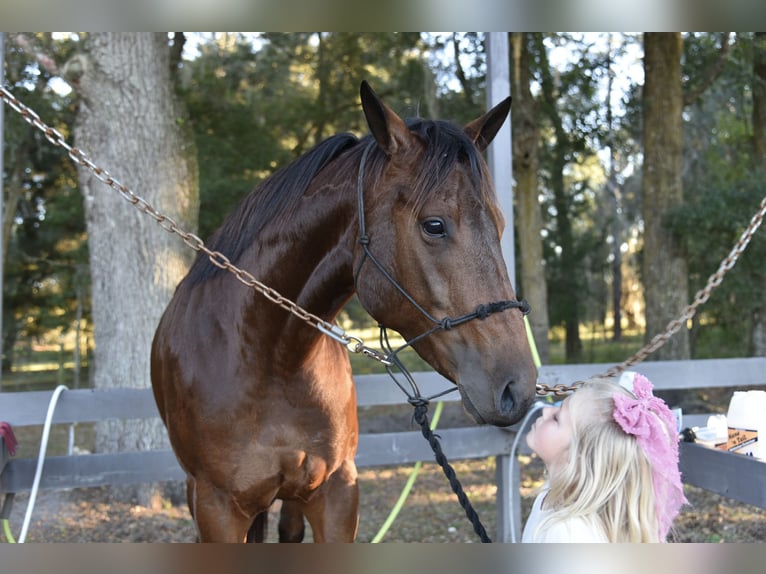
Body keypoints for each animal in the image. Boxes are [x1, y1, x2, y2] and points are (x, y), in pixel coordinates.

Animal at [150, 81, 537, 542]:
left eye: (499, 225)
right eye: (434, 225)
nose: (517, 386)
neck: (266, 355)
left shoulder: (336, 493)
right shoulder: (217, 508)